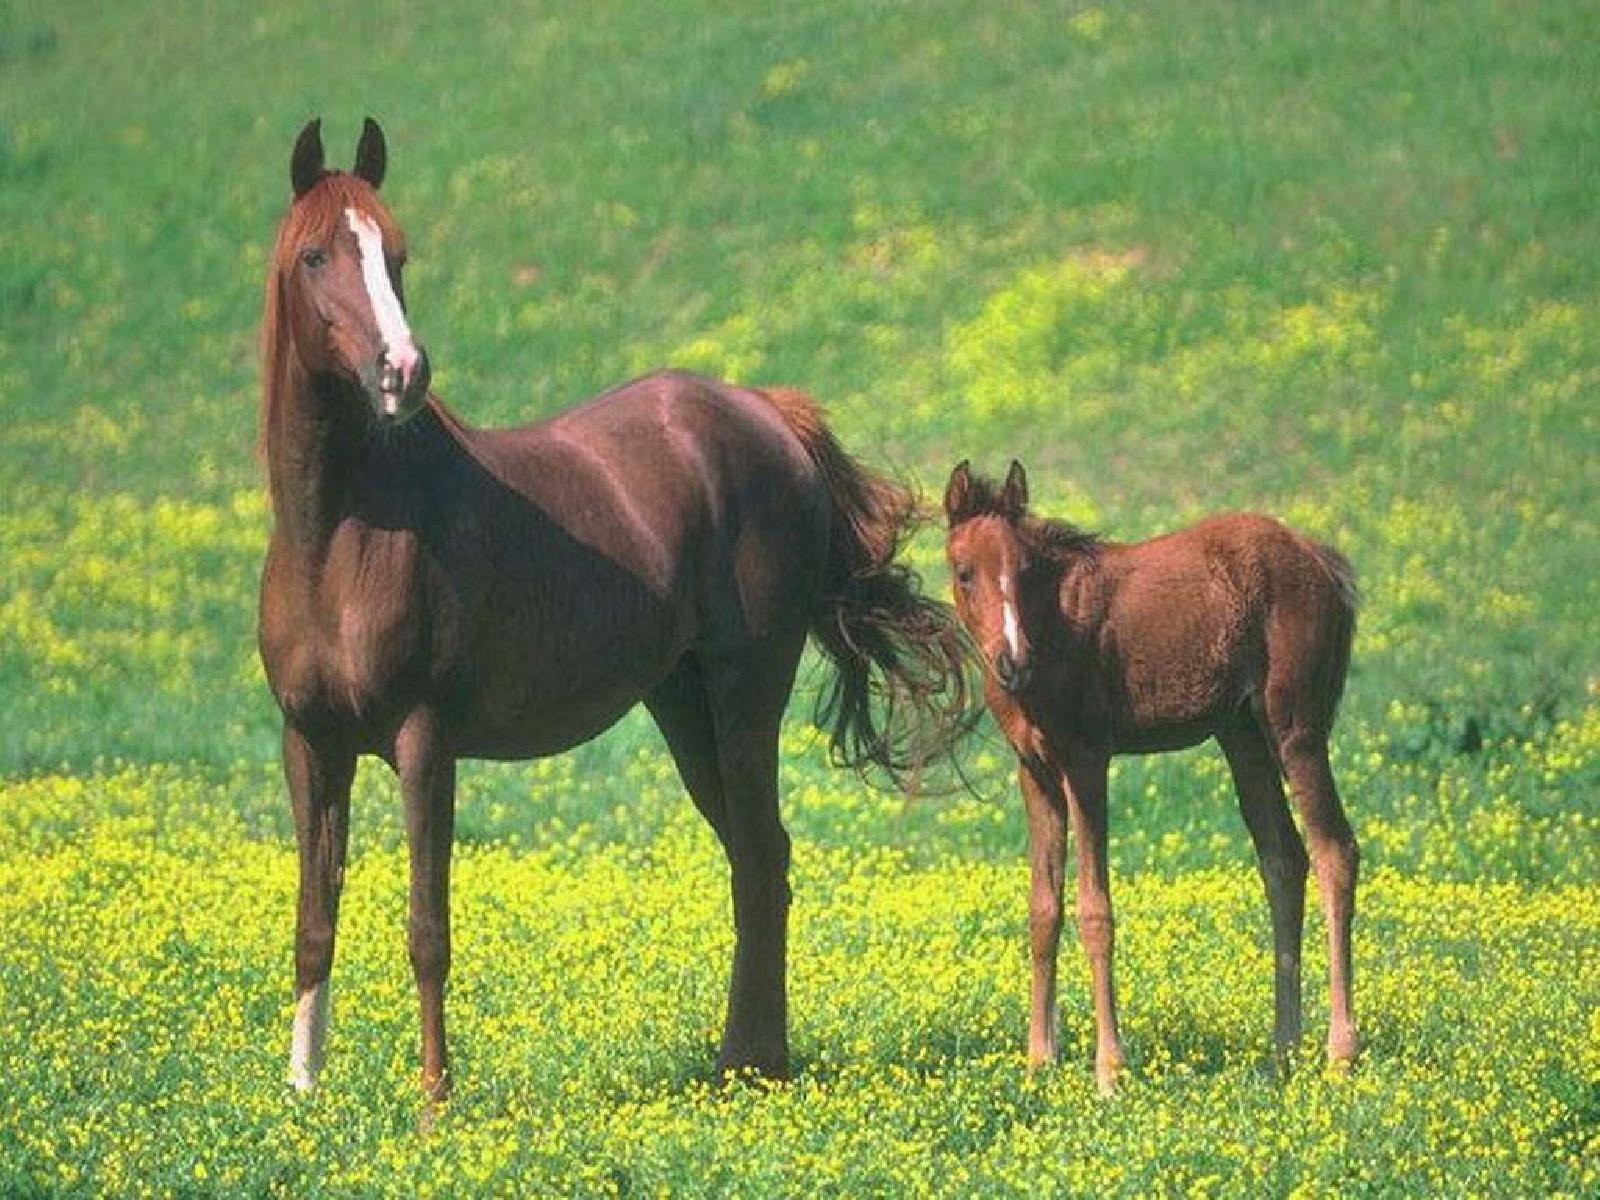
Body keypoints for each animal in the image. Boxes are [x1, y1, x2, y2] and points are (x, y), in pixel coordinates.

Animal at [256, 117, 966, 1107]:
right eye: (317, 254)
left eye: (396, 255)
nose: (402, 372)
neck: (343, 535)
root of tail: (766, 416)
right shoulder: (310, 742)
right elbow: (313, 923)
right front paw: (303, 1095)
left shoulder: (423, 740)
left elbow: (427, 927)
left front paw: (434, 1102)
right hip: (682, 704)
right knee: (757, 860)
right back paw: (749, 1062)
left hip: (746, 694)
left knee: (762, 857)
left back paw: (750, 1066)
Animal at [940, 464, 1356, 1100]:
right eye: (965, 572)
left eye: (1026, 569)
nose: (1013, 662)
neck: (1053, 632)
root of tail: (1321, 560)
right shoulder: (1035, 772)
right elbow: (1043, 910)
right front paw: (1039, 1061)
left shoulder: (1087, 760)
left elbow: (1095, 911)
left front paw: (1109, 1070)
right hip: (1242, 738)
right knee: (1284, 859)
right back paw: (1283, 1052)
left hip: (1296, 730)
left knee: (1335, 851)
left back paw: (1339, 1053)